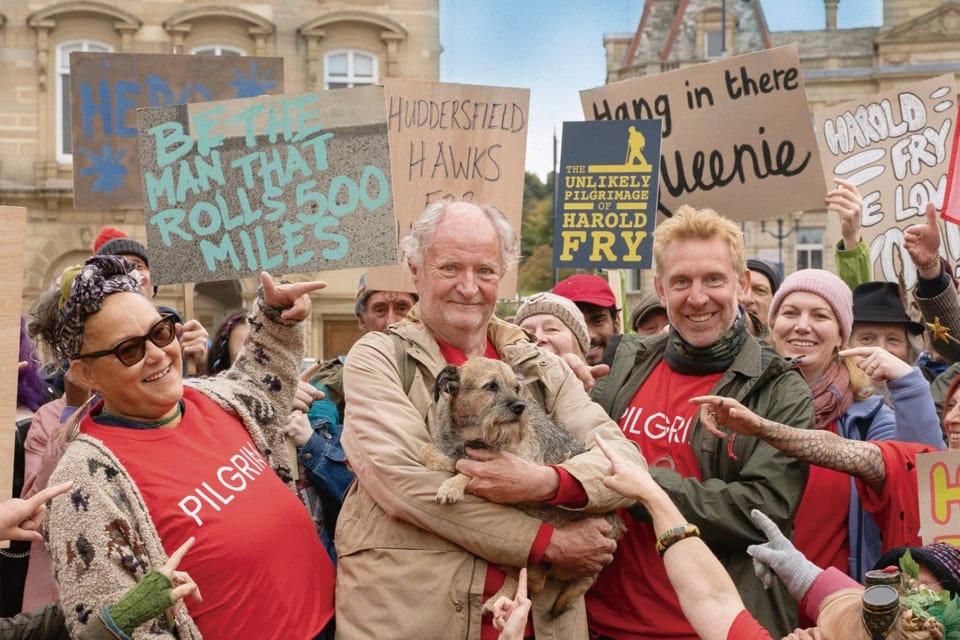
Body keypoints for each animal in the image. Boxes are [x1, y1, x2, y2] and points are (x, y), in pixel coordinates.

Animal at [420, 358, 624, 616]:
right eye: (491, 386)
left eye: (517, 388)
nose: (520, 407)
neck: (473, 435)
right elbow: (426, 450)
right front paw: (444, 461)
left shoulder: (524, 465)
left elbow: (472, 468)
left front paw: (453, 484)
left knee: (534, 579)